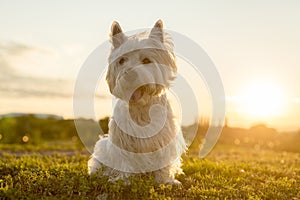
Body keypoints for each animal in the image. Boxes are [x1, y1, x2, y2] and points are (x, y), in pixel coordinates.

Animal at [88, 19, 186, 185]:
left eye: (146, 60)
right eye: (122, 60)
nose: (130, 75)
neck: (141, 107)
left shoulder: (164, 137)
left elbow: (163, 161)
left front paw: (165, 181)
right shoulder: (123, 140)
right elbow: (125, 162)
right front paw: (125, 181)